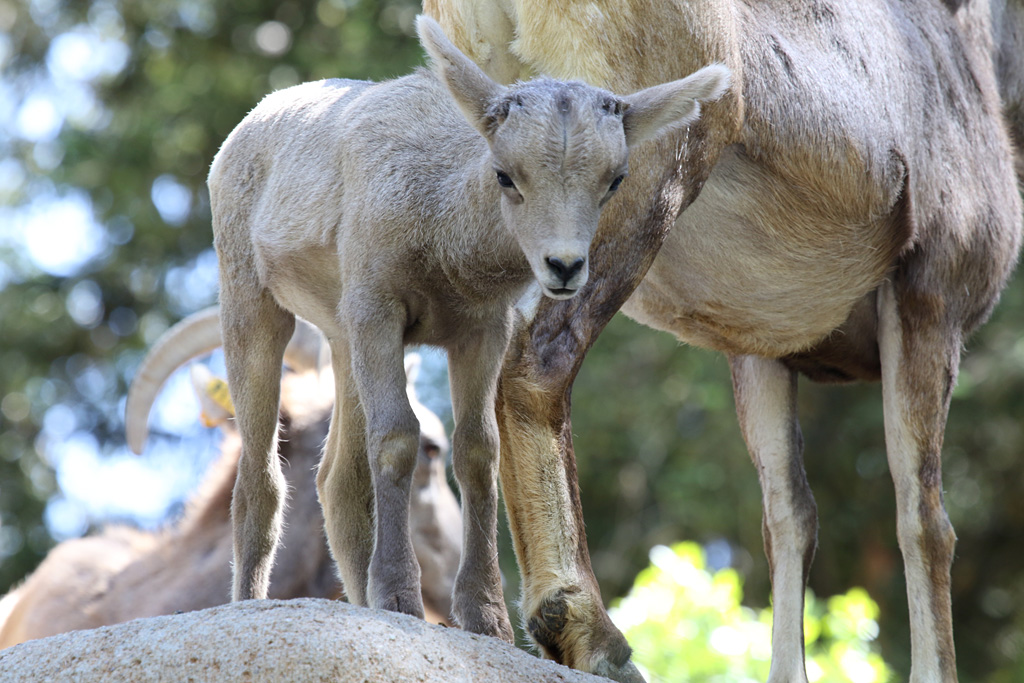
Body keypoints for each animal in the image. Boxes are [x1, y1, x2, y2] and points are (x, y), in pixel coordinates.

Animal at [207, 14, 729, 642]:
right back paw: (248, 602)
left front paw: (487, 618)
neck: (447, 245)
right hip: (252, 299)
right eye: (505, 174)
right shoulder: (378, 307)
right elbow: (398, 438)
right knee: (261, 476)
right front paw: (399, 599)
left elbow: (480, 449)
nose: (563, 266)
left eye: (615, 179)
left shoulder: (481, 330)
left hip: (339, 335)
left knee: (336, 479)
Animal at [424, 1, 1023, 681]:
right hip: (634, 188)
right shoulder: (930, 296)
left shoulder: (760, 347)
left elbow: (789, 515)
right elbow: (924, 519)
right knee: (537, 366)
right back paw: (592, 636)